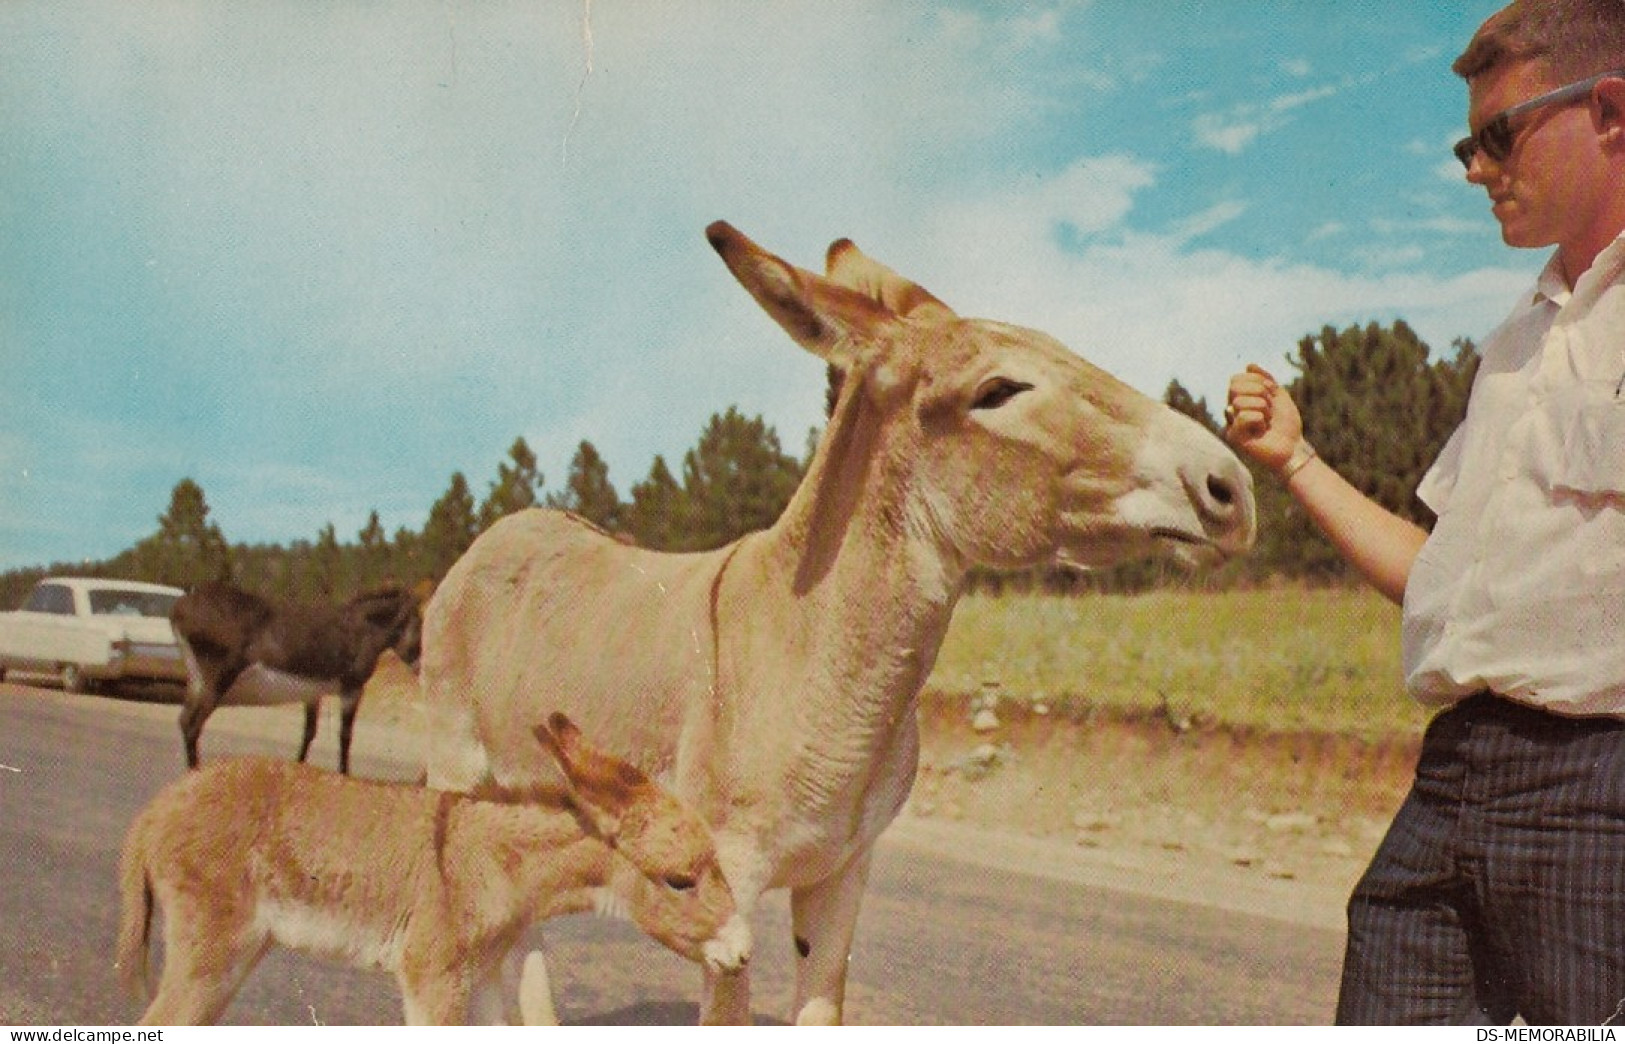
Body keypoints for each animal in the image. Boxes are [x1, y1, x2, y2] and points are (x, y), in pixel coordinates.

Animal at [114, 712, 747, 1021]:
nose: (743, 955)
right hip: (212, 952)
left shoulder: (484, 976)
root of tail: (156, 808)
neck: (486, 860)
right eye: (681, 880)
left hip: (237, 955)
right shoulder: (431, 978)